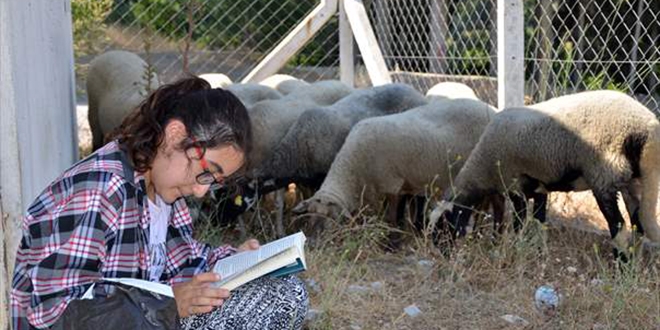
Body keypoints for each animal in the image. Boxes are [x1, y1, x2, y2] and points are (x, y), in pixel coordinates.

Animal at [292, 97, 498, 242]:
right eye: (310, 217)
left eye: (331, 220)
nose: (313, 243)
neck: (352, 169)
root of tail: (491, 109)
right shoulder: (394, 187)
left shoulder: (392, 184)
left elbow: (392, 217)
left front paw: (391, 243)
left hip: (481, 170)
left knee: (485, 204)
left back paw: (479, 233)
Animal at [430, 89, 660, 255]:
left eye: (443, 226)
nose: (442, 254)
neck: (483, 167)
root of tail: (647, 128)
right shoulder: (539, 187)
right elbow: (540, 223)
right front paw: (538, 251)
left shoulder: (515, 184)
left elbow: (520, 222)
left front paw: (518, 248)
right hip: (632, 181)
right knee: (638, 224)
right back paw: (633, 265)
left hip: (603, 175)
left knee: (619, 227)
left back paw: (621, 265)